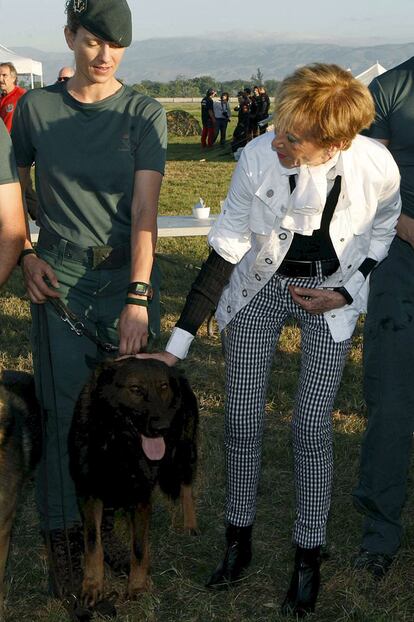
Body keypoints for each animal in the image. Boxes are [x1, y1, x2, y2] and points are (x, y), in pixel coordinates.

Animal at [68, 358, 200, 612]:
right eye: (136, 389)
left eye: (163, 387)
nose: (163, 427)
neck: (117, 441)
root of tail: (180, 374)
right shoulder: (89, 493)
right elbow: (93, 544)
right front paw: (93, 585)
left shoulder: (140, 498)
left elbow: (138, 548)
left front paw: (137, 587)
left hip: (184, 453)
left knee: (187, 487)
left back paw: (190, 523)